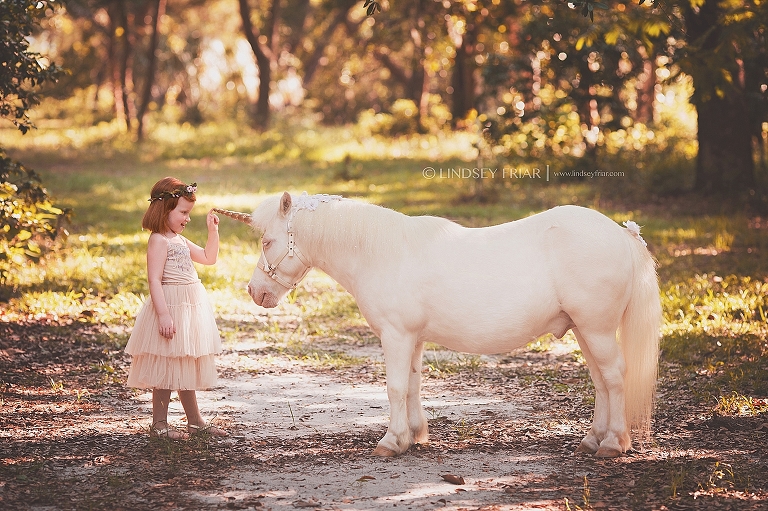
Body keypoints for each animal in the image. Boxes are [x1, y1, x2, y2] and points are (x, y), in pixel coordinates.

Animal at [214, 194, 660, 458]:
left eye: (267, 241)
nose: (255, 291)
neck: (381, 252)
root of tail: (623, 234)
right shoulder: (412, 339)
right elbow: (412, 385)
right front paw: (413, 435)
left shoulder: (395, 336)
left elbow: (395, 387)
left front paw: (390, 442)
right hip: (585, 330)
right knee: (602, 382)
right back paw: (593, 439)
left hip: (596, 329)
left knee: (615, 378)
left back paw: (614, 444)